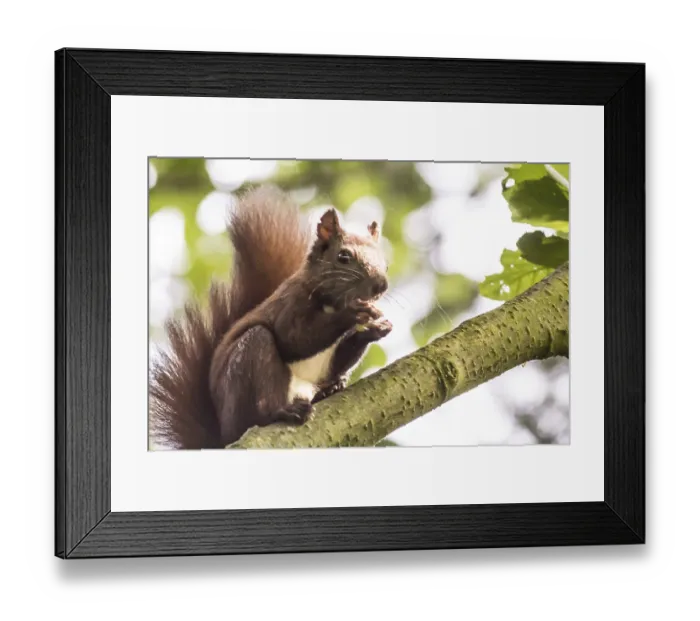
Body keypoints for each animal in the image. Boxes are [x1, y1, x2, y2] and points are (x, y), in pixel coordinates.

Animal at [149, 185, 393, 450]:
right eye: (344, 256)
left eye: (386, 264)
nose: (381, 285)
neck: (330, 302)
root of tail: (223, 437)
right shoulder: (289, 305)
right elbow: (295, 339)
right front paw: (352, 314)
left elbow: (334, 363)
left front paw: (376, 329)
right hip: (248, 370)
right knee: (262, 390)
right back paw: (284, 411)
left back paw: (329, 390)